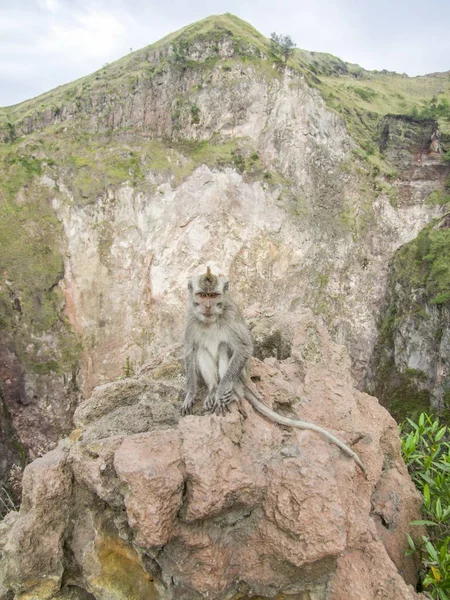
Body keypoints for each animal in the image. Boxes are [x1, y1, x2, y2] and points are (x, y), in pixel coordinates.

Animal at [181, 266, 368, 474]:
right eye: (202, 295)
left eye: (213, 295)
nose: (207, 306)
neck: (210, 319)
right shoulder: (190, 318)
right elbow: (190, 351)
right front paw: (191, 394)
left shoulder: (229, 313)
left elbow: (244, 347)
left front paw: (221, 391)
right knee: (201, 349)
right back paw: (213, 390)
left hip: (239, 377)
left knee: (224, 347)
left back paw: (229, 394)